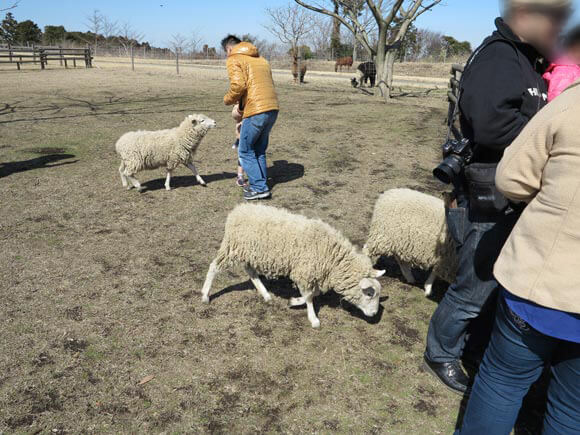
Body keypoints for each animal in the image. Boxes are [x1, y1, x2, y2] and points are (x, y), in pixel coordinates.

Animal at [201, 204, 386, 328]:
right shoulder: (304, 272)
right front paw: (313, 318)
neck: (332, 258)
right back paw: (205, 295)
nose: (374, 314)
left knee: (250, 272)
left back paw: (265, 294)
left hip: (249, 253)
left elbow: (313, 293)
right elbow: (310, 296)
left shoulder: (311, 273)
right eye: (369, 293)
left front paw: (295, 301)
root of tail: (238, 209)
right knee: (213, 267)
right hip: (232, 248)